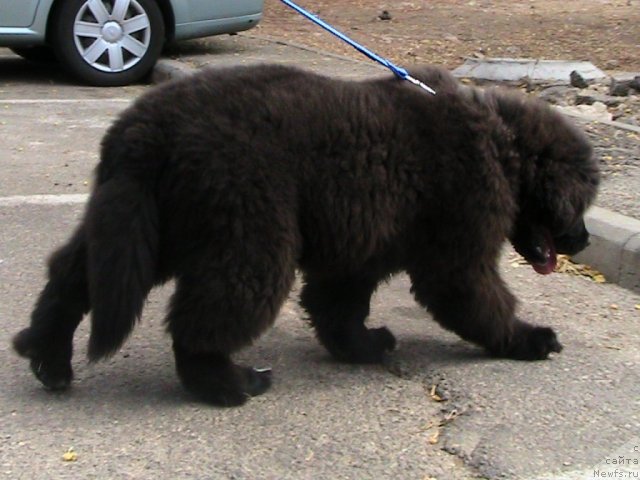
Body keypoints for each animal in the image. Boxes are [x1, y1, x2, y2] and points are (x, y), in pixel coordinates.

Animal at [11, 64, 600, 404]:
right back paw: (232, 384)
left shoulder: (361, 247)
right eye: (582, 203)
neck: (504, 144)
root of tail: (142, 131)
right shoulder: (459, 246)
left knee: (70, 277)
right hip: (246, 230)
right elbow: (479, 299)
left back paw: (46, 355)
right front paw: (528, 339)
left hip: (154, 226)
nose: (584, 241)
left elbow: (337, 307)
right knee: (204, 320)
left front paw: (363, 346)